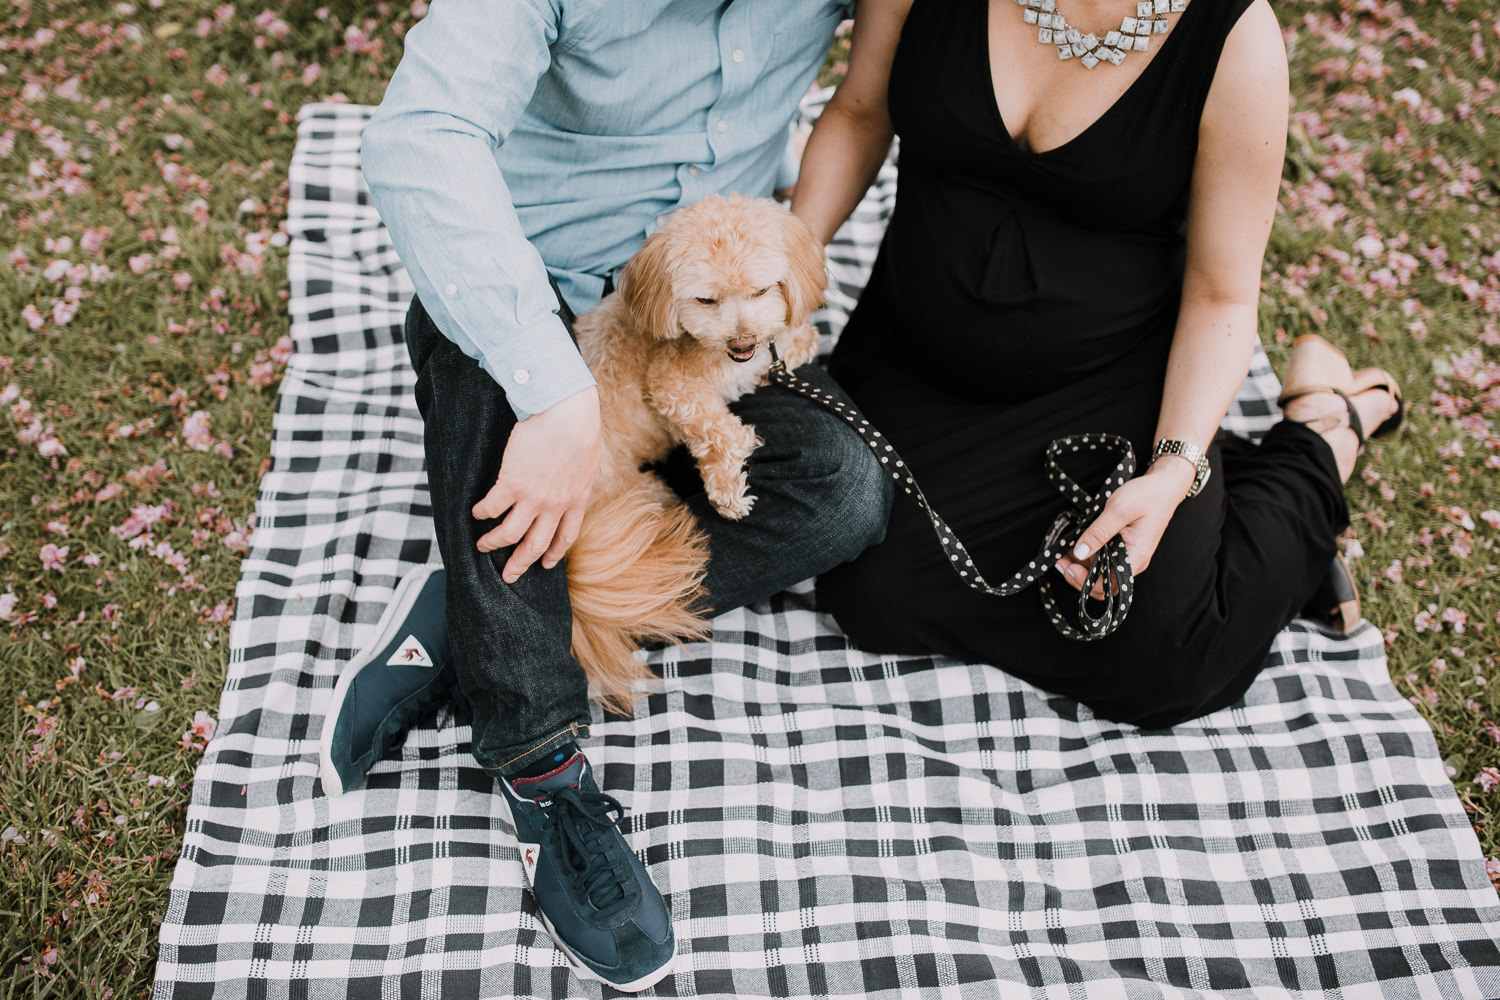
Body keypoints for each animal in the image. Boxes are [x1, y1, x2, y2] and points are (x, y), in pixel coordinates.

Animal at [564, 193, 828, 710]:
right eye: (706, 300)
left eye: (761, 290)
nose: (742, 341)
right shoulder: (671, 383)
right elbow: (716, 428)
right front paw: (728, 488)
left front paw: (800, 338)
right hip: (641, 497)